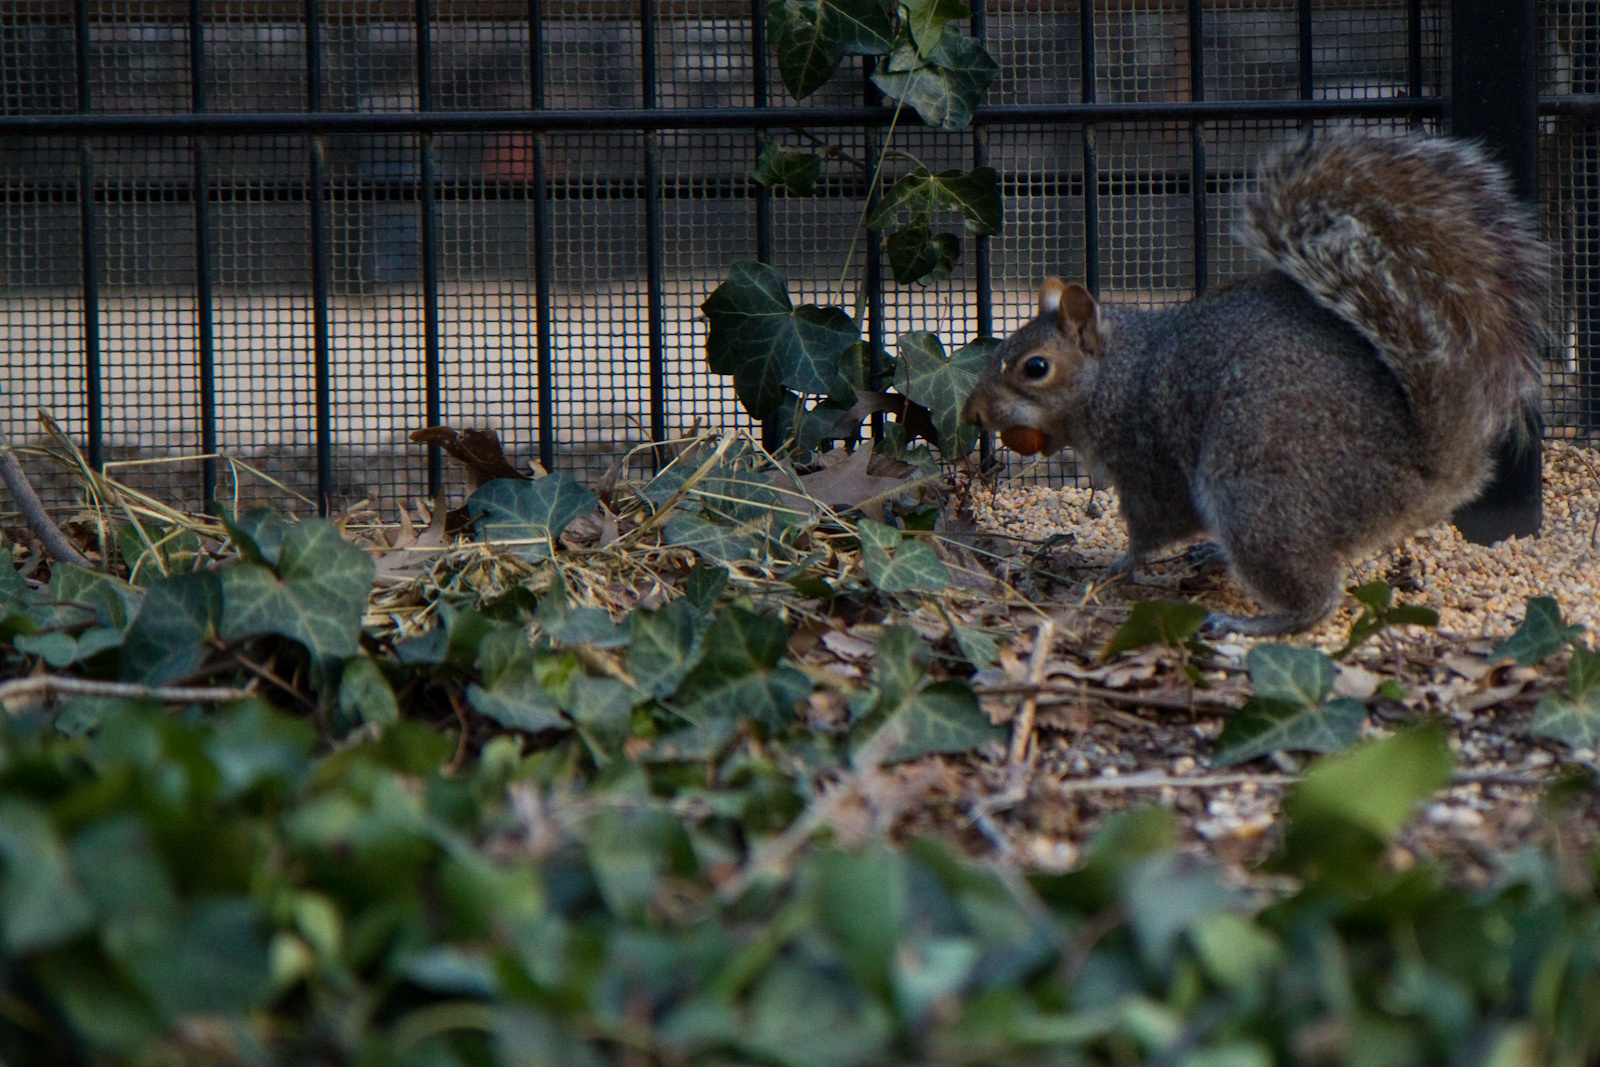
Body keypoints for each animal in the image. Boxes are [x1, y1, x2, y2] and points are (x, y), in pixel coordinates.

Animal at [960, 132, 1548, 633]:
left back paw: (1252, 622)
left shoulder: (1147, 456)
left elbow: (1154, 524)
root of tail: (1423, 469)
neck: (1115, 373)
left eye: (1035, 368)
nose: (973, 414)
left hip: (1252, 493)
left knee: (1317, 597)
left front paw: (1115, 565)